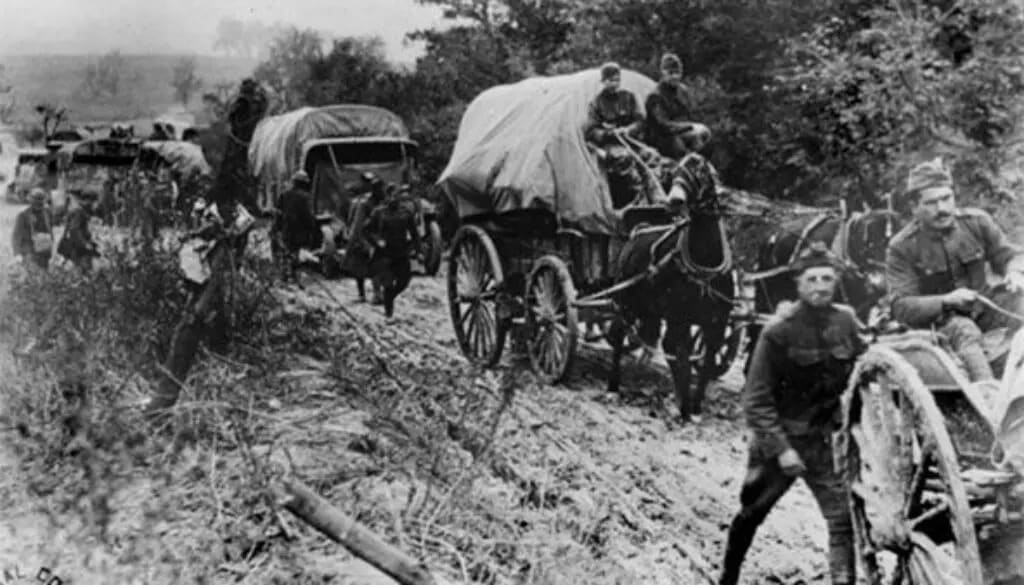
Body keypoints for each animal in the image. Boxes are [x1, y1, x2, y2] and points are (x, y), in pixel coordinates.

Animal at [606, 152, 737, 422]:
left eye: (700, 171)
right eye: (675, 170)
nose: (674, 200)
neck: (705, 265)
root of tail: (640, 229)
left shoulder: (717, 322)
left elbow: (706, 362)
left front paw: (694, 407)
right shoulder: (680, 317)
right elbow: (683, 358)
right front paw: (684, 407)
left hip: (651, 308)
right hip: (626, 301)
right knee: (620, 335)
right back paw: (613, 387)